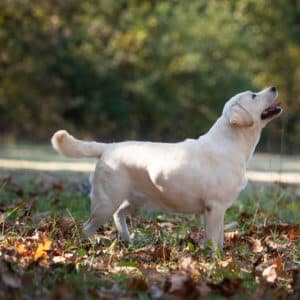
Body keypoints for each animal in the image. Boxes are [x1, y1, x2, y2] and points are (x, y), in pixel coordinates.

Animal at [50, 86, 282, 251]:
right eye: (253, 95)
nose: (273, 87)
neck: (232, 142)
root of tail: (108, 146)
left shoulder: (220, 208)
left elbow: (219, 238)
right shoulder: (215, 207)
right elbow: (213, 239)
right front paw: (215, 260)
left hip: (134, 200)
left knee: (119, 215)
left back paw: (127, 240)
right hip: (106, 201)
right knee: (88, 226)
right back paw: (90, 246)